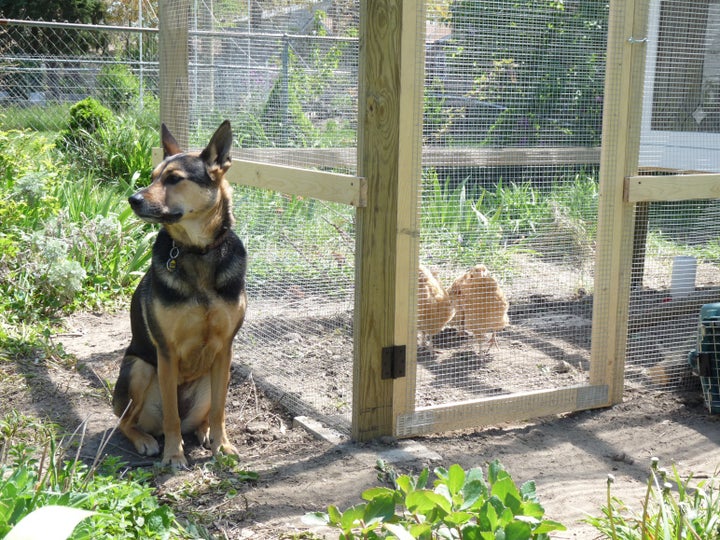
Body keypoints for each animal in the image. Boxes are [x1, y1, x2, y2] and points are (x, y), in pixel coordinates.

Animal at [112, 120, 248, 466]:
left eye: (174, 179)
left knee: (205, 414)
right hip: (140, 368)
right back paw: (146, 440)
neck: (196, 251)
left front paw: (222, 446)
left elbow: (220, 409)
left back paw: (205, 432)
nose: (133, 199)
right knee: (126, 422)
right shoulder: (167, 352)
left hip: (213, 375)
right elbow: (172, 414)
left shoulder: (225, 349)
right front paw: (174, 455)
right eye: (152, 177)